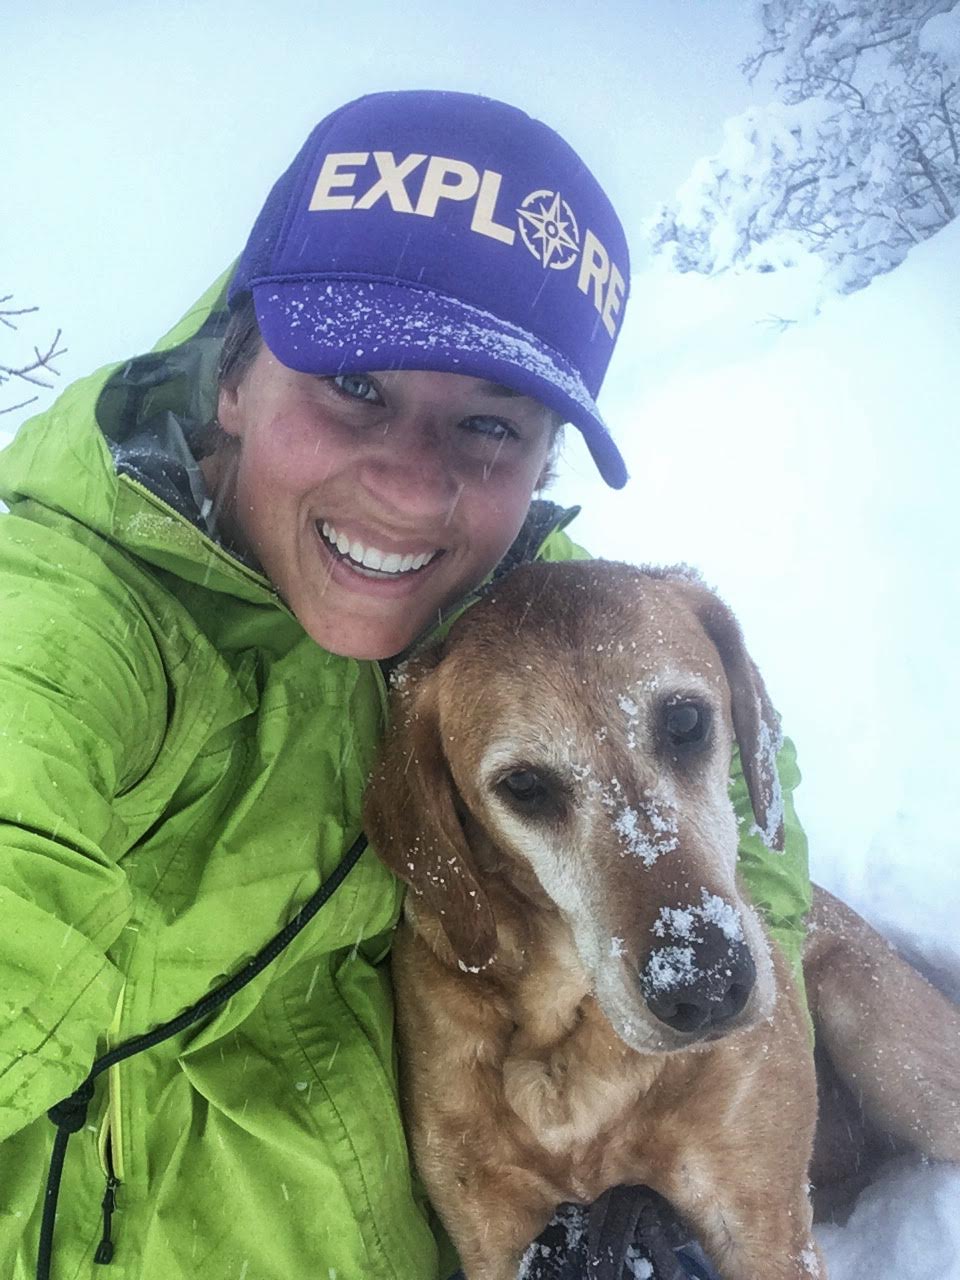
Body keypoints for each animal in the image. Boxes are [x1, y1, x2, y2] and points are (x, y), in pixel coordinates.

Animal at [363, 565, 960, 1280]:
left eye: (684, 720)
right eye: (524, 786)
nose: (704, 987)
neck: (566, 1041)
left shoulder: (763, 1221)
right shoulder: (493, 1234)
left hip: (886, 1040)